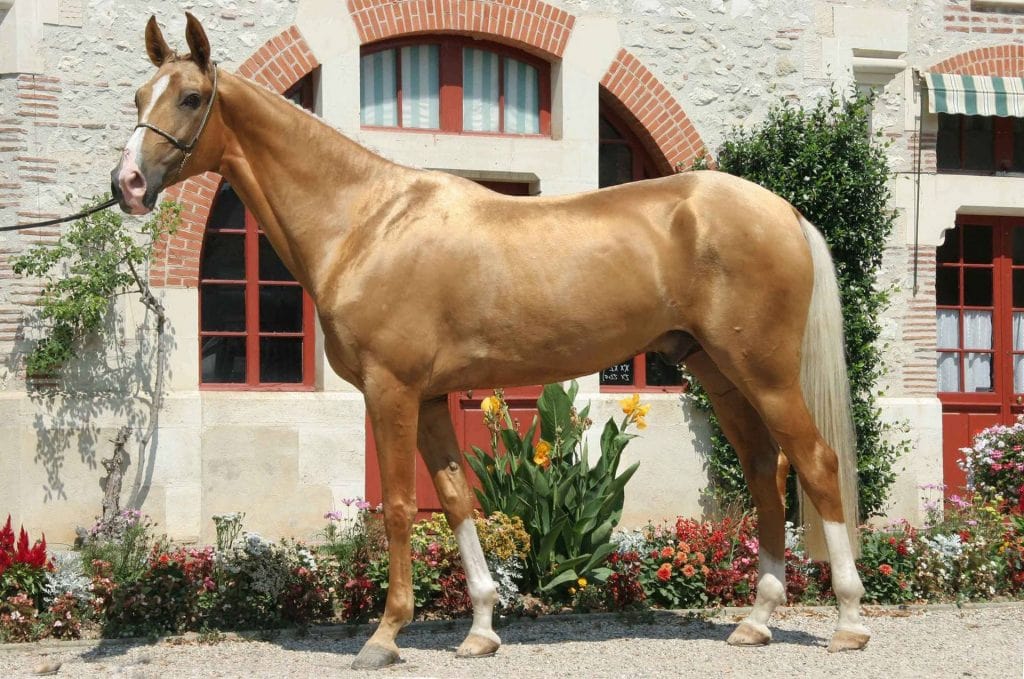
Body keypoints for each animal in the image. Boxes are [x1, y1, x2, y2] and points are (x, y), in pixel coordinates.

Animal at [114, 14, 872, 667]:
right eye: (139, 95)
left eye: (189, 97)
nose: (128, 184)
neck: (366, 222)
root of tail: (782, 210)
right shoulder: (429, 397)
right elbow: (454, 499)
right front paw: (480, 627)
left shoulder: (391, 391)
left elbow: (398, 508)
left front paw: (385, 636)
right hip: (717, 370)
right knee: (765, 469)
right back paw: (757, 620)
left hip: (764, 371)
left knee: (816, 462)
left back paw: (849, 620)